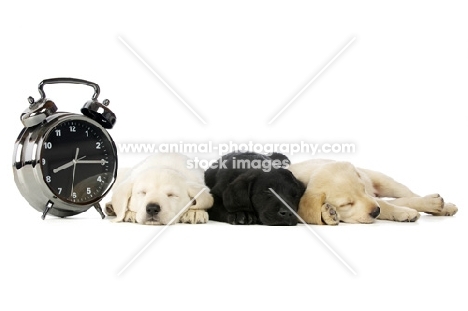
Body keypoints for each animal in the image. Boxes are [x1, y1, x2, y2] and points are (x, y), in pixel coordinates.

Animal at [288, 160, 458, 225]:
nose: (376, 211)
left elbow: (386, 204)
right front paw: (328, 214)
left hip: (386, 182)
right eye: (346, 204)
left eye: (363, 189)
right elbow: (387, 204)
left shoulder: (370, 196)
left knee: (410, 195)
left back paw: (441, 205)